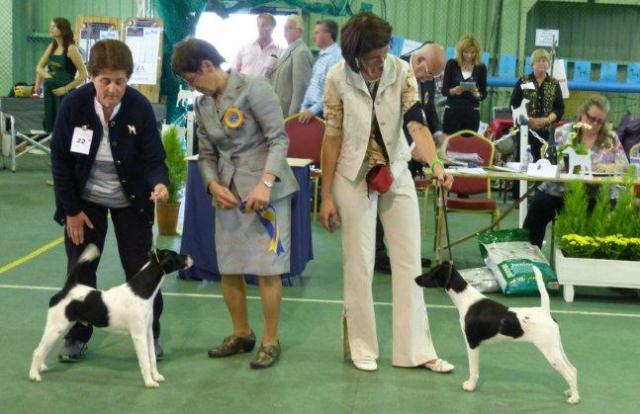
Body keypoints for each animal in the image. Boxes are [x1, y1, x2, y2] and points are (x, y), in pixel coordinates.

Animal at [28, 244, 192, 386]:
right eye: (175, 255)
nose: (190, 256)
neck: (141, 291)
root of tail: (68, 289)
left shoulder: (148, 332)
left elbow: (151, 358)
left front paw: (156, 376)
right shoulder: (138, 335)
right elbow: (145, 361)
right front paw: (149, 382)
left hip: (59, 327)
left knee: (44, 349)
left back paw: (41, 367)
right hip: (56, 327)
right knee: (38, 351)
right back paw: (34, 375)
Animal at [416, 264, 580, 402]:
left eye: (433, 272)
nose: (415, 279)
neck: (466, 299)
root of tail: (545, 311)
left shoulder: (472, 343)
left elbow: (473, 369)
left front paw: (470, 386)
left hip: (550, 351)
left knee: (569, 372)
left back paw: (574, 398)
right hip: (556, 348)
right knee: (573, 369)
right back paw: (570, 392)